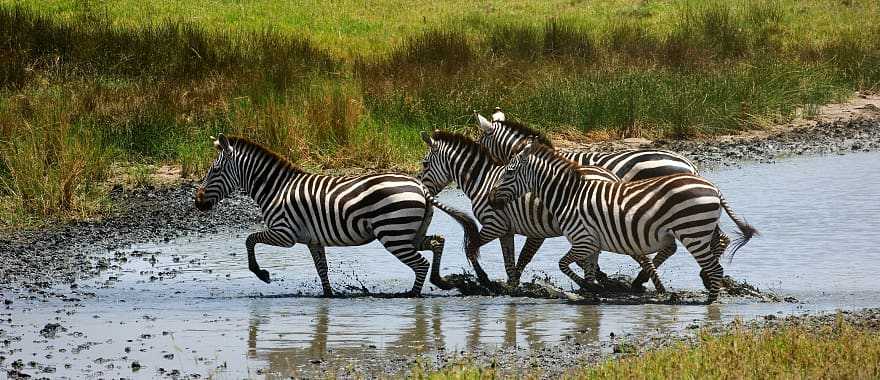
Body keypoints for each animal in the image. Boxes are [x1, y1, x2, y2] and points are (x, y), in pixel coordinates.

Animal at [195, 134, 478, 296]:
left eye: (214, 170)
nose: (197, 202)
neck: (276, 189)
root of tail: (420, 187)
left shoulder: (284, 234)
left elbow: (250, 239)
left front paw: (261, 273)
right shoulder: (313, 240)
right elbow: (322, 269)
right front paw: (328, 296)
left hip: (393, 233)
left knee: (421, 263)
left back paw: (412, 295)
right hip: (409, 232)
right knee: (437, 242)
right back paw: (442, 282)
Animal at [418, 131, 620, 288]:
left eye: (425, 164)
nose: (420, 187)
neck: (482, 181)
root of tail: (611, 177)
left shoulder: (494, 225)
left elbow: (471, 249)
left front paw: (485, 280)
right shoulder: (506, 231)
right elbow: (510, 261)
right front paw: (511, 287)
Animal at [474, 111, 728, 290]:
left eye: (481, 145)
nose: (490, 190)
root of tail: (688, 163)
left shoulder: (549, 223)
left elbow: (532, 255)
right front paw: (597, 277)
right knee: (718, 238)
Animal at [488, 141, 756, 304]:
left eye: (508, 172)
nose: (491, 198)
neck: (568, 196)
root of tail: (713, 188)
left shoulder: (583, 240)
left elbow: (562, 264)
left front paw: (589, 289)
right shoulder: (592, 244)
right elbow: (588, 271)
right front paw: (592, 292)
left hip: (693, 232)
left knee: (715, 268)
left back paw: (711, 302)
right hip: (699, 230)